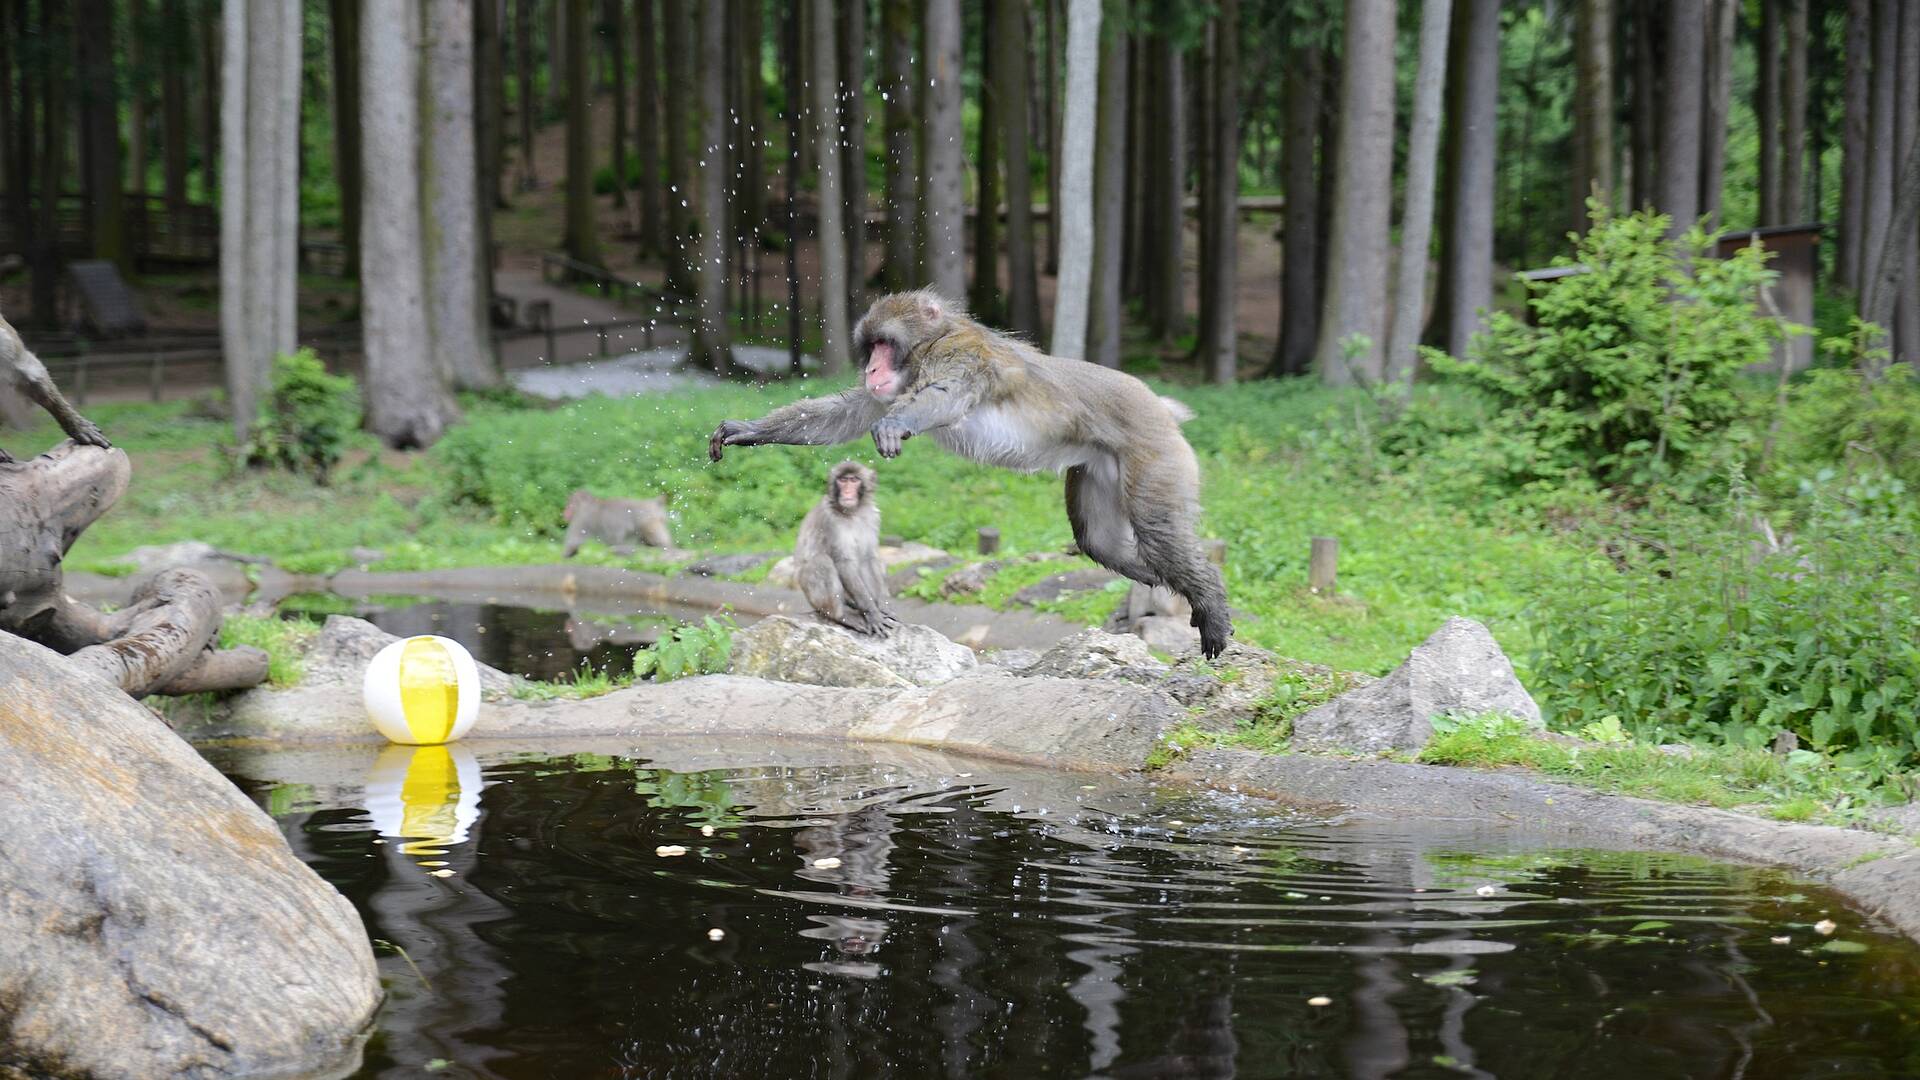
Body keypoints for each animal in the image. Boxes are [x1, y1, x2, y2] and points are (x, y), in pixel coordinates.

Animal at [791, 457, 894, 634]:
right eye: (842, 480)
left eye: (854, 480)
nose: (847, 492)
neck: (853, 513)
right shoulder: (829, 520)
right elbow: (843, 562)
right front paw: (872, 612)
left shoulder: (872, 516)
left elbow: (868, 559)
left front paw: (878, 606)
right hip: (813, 596)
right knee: (821, 561)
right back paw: (841, 615)